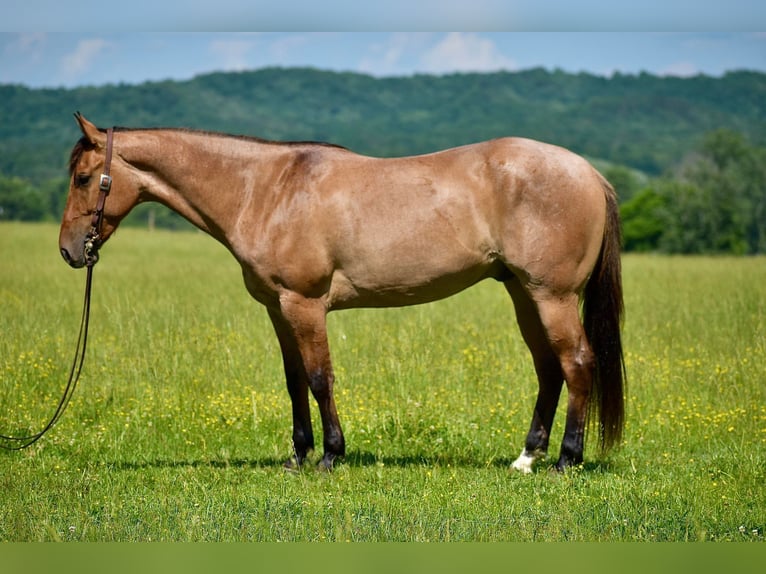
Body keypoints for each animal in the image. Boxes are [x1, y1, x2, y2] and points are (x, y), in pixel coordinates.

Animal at [60, 112, 624, 472]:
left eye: (85, 177)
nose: (69, 251)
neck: (266, 190)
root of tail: (590, 173)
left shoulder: (305, 304)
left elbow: (319, 378)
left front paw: (331, 454)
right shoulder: (278, 309)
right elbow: (293, 382)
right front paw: (298, 455)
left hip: (551, 296)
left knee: (576, 363)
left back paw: (566, 460)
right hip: (524, 295)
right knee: (549, 369)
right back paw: (527, 458)